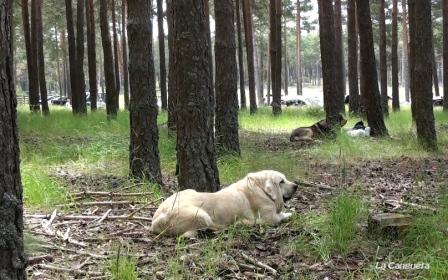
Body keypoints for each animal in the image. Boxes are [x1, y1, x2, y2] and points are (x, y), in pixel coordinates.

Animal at [150, 171, 298, 236]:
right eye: (281, 181)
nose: (296, 186)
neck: (260, 188)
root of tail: (158, 218)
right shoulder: (270, 218)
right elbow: (282, 216)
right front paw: (289, 214)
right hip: (202, 215)